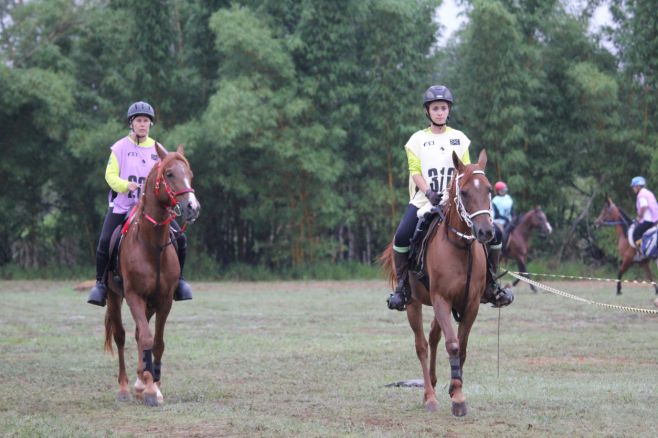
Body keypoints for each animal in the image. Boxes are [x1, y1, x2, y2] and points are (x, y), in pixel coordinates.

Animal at [102, 145, 199, 408]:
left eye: (190, 174)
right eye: (169, 174)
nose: (193, 208)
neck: (152, 245)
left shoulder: (163, 300)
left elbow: (156, 342)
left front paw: (153, 384)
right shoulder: (134, 296)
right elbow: (144, 338)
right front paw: (149, 390)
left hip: (150, 304)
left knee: (137, 334)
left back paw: (139, 381)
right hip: (114, 296)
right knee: (121, 336)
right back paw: (125, 387)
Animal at [380, 149, 492, 416]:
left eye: (489, 189)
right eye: (464, 192)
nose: (486, 232)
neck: (460, 246)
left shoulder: (471, 304)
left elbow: (461, 347)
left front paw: (455, 388)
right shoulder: (441, 299)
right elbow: (452, 345)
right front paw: (458, 398)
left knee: (432, 337)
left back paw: (434, 382)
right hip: (413, 303)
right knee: (421, 344)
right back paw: (429, 396)